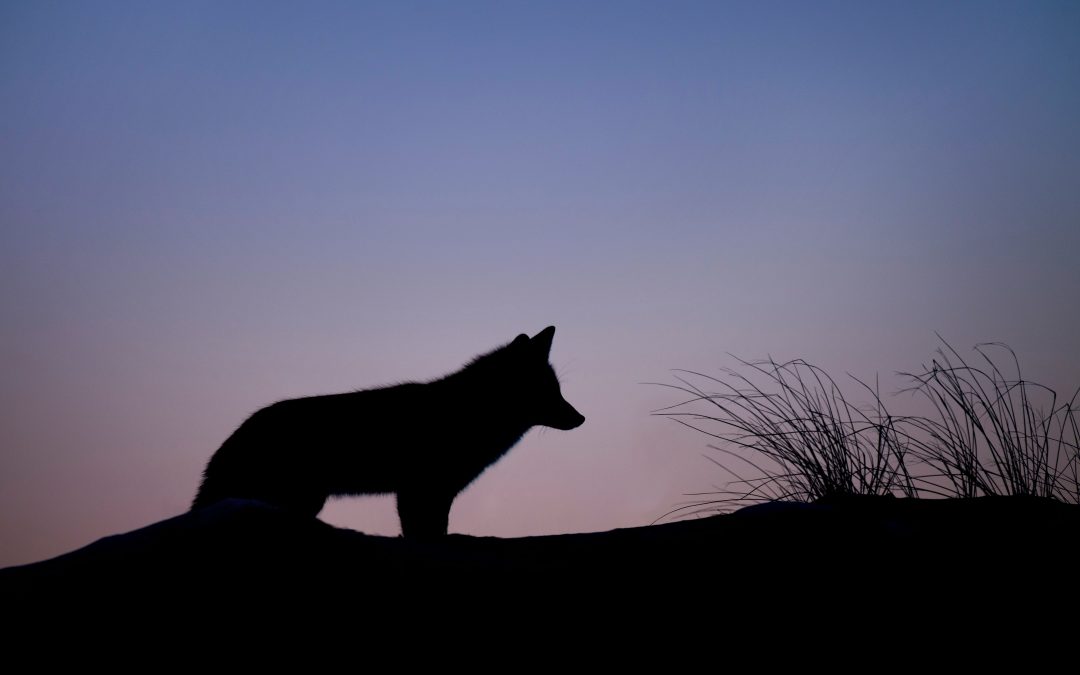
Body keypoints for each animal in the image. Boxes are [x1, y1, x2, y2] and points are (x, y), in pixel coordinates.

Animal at [191, 326, 584, 538]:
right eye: (548, 391)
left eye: (558, 390)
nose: (581, 418)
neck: (468, 413)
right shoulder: (420, 490)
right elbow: (424, 534)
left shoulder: (435, 493)